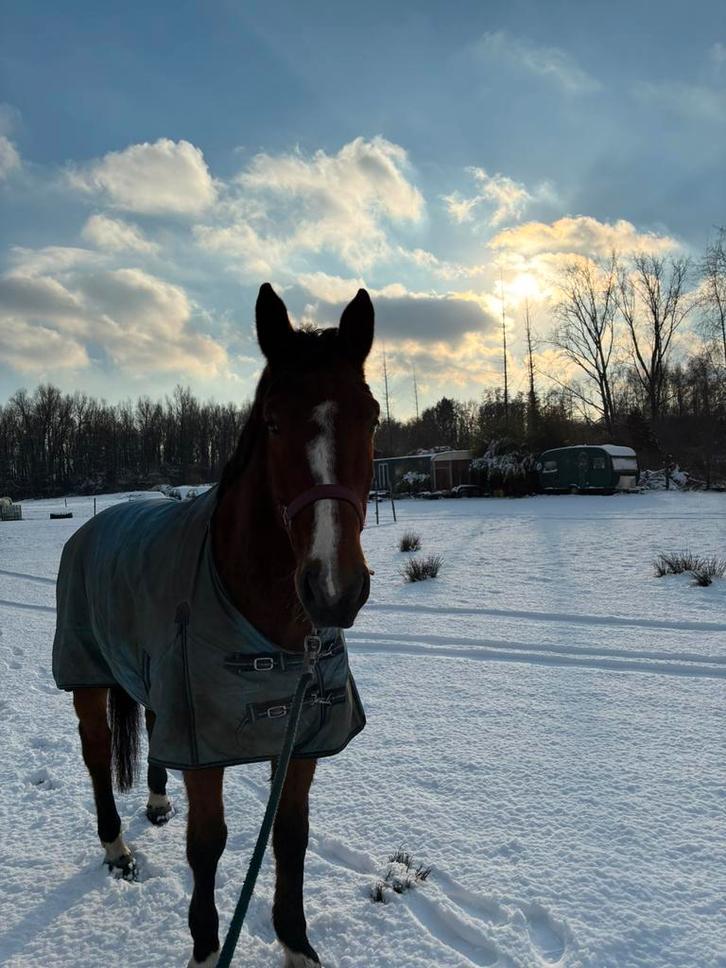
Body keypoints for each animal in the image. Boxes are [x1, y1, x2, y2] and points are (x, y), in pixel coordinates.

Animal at [53, 283, 379, 967]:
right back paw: (116, 847)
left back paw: (154, 802)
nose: (334, 590)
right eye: (274, 421)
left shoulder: (300, 739)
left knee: (151, 732)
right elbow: (207, 844)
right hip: (87, 677)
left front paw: (295, 942)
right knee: (96, 754)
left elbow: (290, 837)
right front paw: (206, 947)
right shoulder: (203, 750)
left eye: (371, 416)